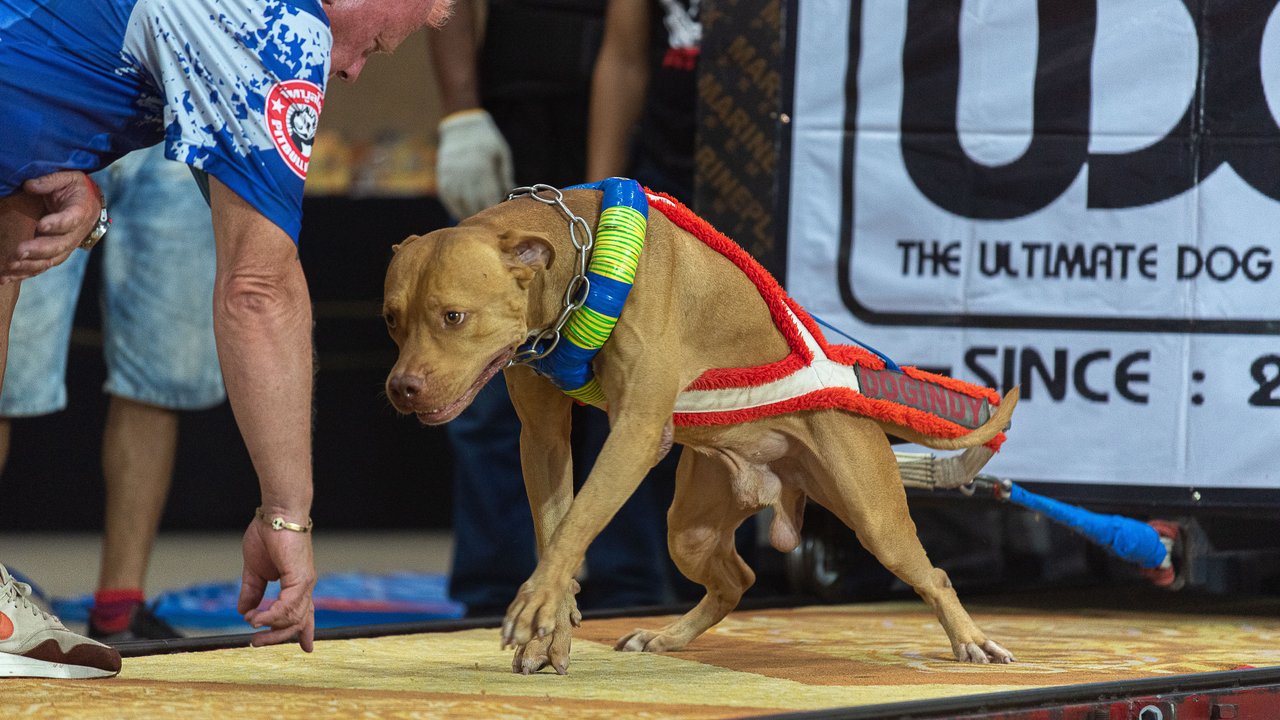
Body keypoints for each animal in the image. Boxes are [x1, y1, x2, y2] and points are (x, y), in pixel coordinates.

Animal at [381, 185, 1018, 671]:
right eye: (391, 319)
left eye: (454, 316)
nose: (401, 389)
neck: (580, 267)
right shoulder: (543, 441)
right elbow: (555, 530)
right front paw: (551, 625)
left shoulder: (635, 433)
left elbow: (578, 523)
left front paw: (535, 606)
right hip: (690, 529)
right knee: (736, 578)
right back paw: (664, 636)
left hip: (873, 517)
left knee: (934, 574)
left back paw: (972, 641)